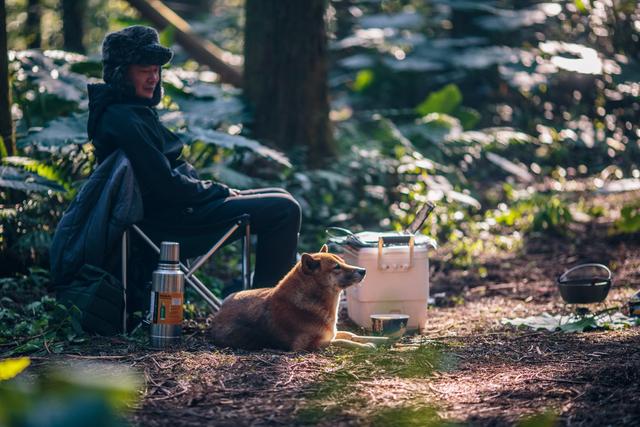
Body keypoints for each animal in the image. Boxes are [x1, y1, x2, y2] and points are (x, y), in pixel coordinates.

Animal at [212, 244, 388, 352]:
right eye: (336, 267)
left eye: (343, 262)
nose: (363, 270)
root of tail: (218, 312)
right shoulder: (309, 345)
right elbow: (342, 341)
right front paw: (367, 346)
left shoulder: (333, 333)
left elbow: (352, 335)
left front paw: (380, 339)